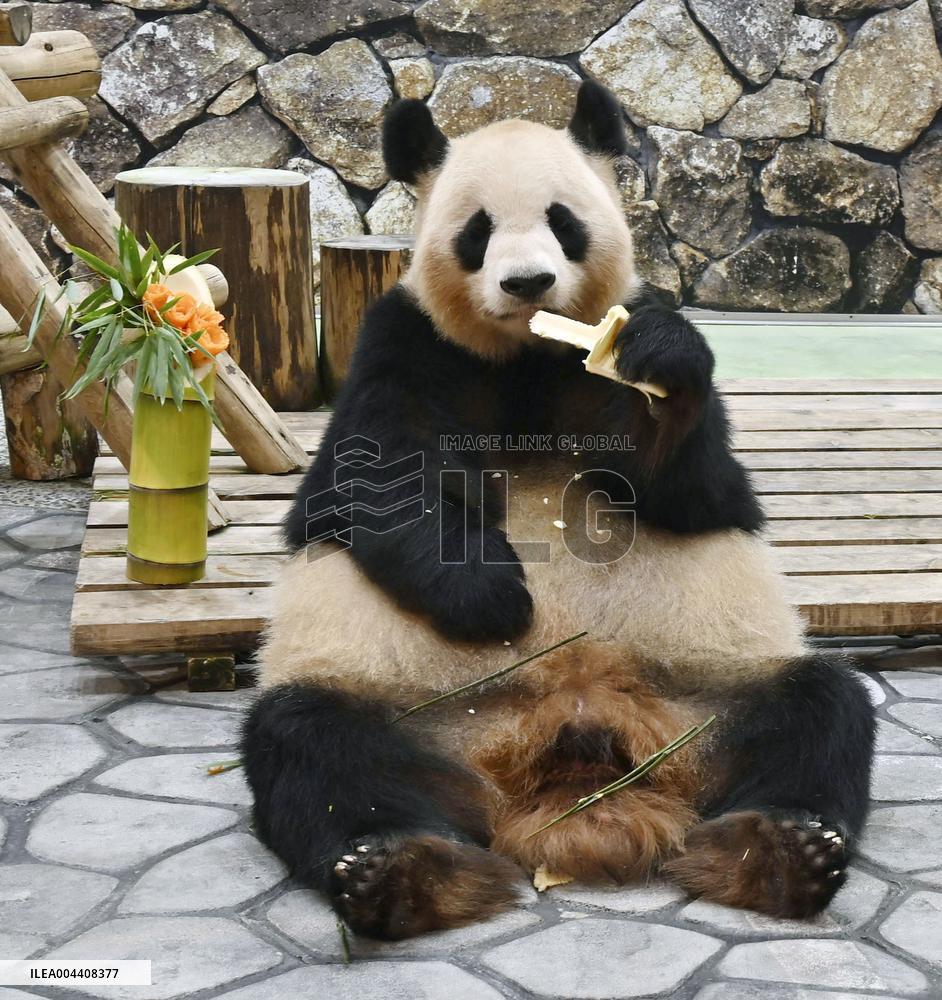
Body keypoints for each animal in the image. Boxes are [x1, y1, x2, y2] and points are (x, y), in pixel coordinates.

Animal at [242, 81, 875, 941]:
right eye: (477, 232)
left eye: (562, 221)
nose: (527, 284)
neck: (530, 358)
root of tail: (569, 752)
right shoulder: (403, 342)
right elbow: (371, 481)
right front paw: (496, 598)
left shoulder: (619, 348)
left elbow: (696, 489)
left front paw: (661, 369)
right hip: (421, 714)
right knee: (317, 748)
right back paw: (403, 871)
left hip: (701, 705)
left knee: (821, 711)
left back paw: (780, 851)